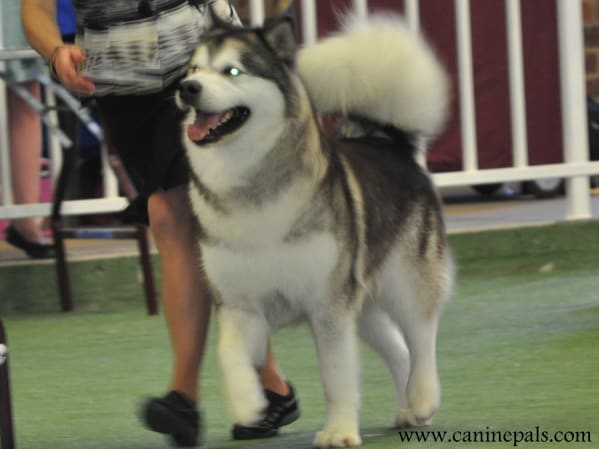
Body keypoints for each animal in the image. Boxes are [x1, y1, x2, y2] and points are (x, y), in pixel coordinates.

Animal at [178, 9, 454, 444]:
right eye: (194, 69)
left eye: (233, 70)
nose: (187, 89)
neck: (248, 186)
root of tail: (388, 142)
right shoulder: (238, 304)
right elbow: (228, 356)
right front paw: (248, 405)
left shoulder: (328, 305)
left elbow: (336, 375)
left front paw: (339, 432)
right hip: (362, 300)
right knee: (399, 349)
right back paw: (408, 409)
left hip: (404, 279)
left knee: (422, 335)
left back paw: (423, 397)